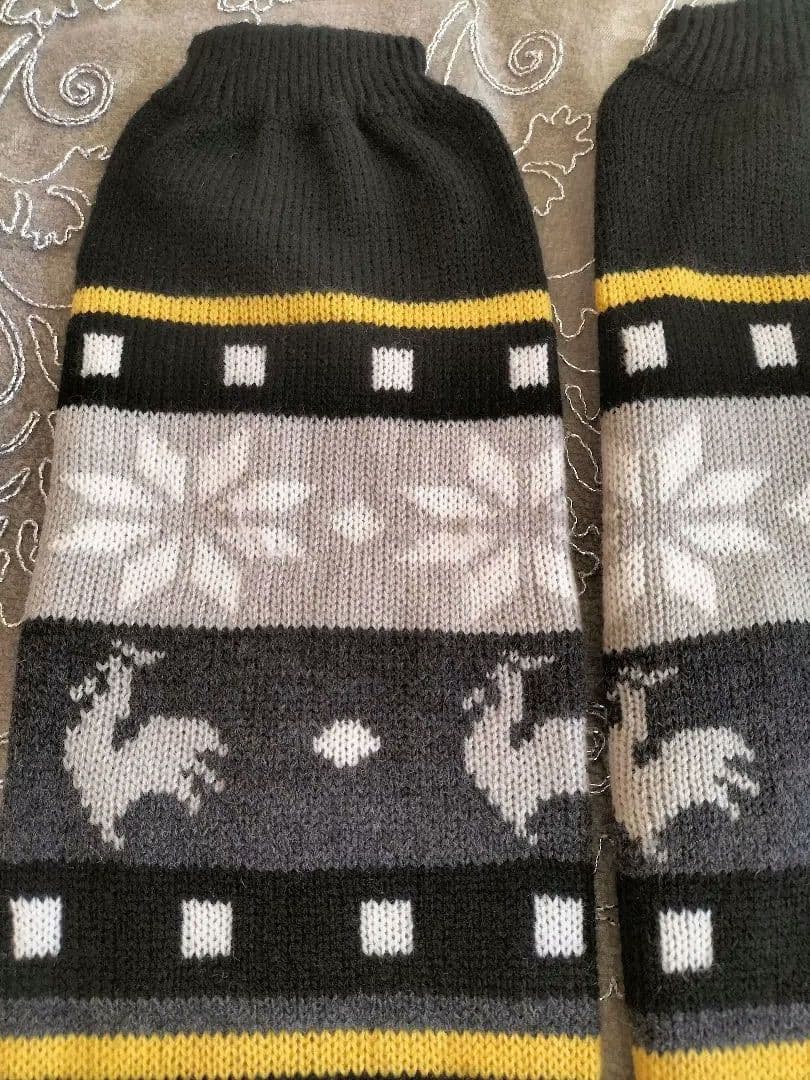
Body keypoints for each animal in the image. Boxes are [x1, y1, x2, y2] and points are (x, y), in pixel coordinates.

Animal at [607, 666, 759, 863]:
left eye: (638, 685)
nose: (641, 732)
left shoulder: (645, 829)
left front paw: (660, 855)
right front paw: (660, 855)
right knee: (728, 780)